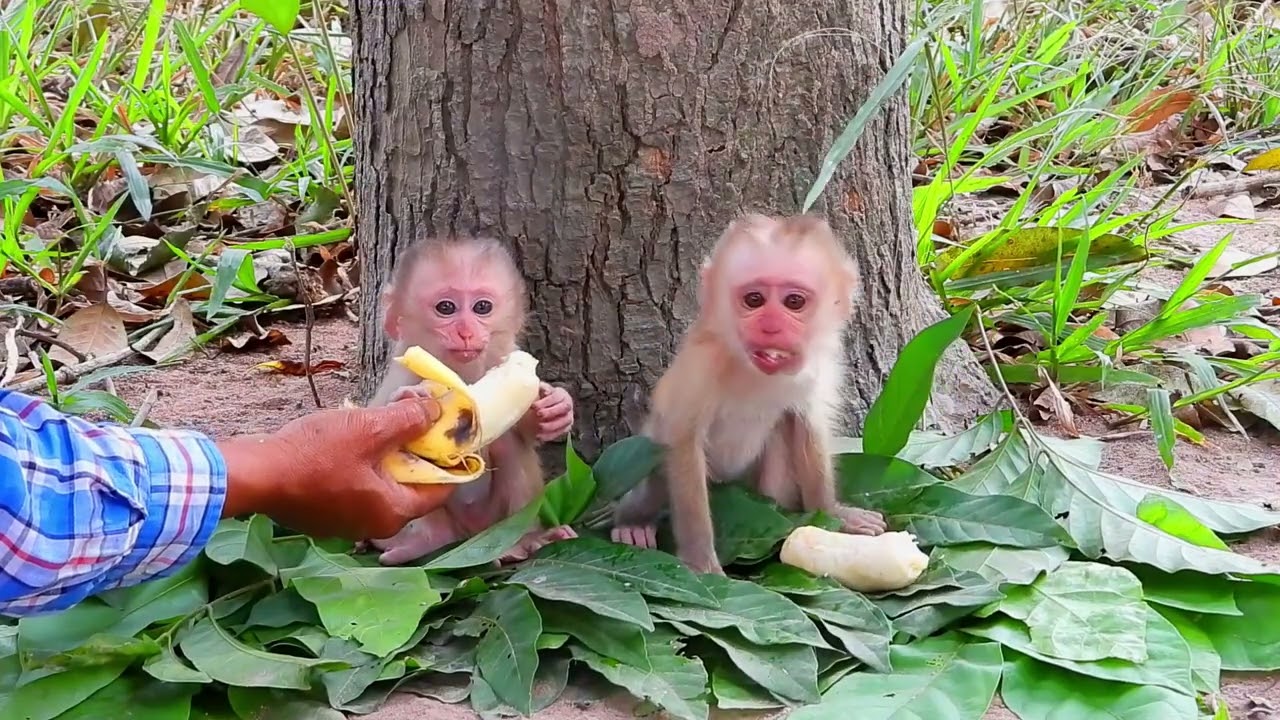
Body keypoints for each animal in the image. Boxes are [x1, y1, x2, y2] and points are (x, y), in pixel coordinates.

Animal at [364, 235, 577, 566]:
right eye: (446, 308)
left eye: (482, 307)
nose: (465, 331)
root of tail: (472, 536)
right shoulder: (402, 374)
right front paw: (410, 402)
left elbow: (526, 429)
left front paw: (556, 409)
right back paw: (428, 541)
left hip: (493, 523)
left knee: (508, 444)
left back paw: (526, 539)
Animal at [610, 213, 887, 576]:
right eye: (754, 300)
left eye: (794, 302)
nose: (770, 325)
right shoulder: (703, 363)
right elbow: (682, 440)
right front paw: (700, 560)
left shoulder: (816, 367)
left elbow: (807, 425)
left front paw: (831, 513)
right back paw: (634, 521)